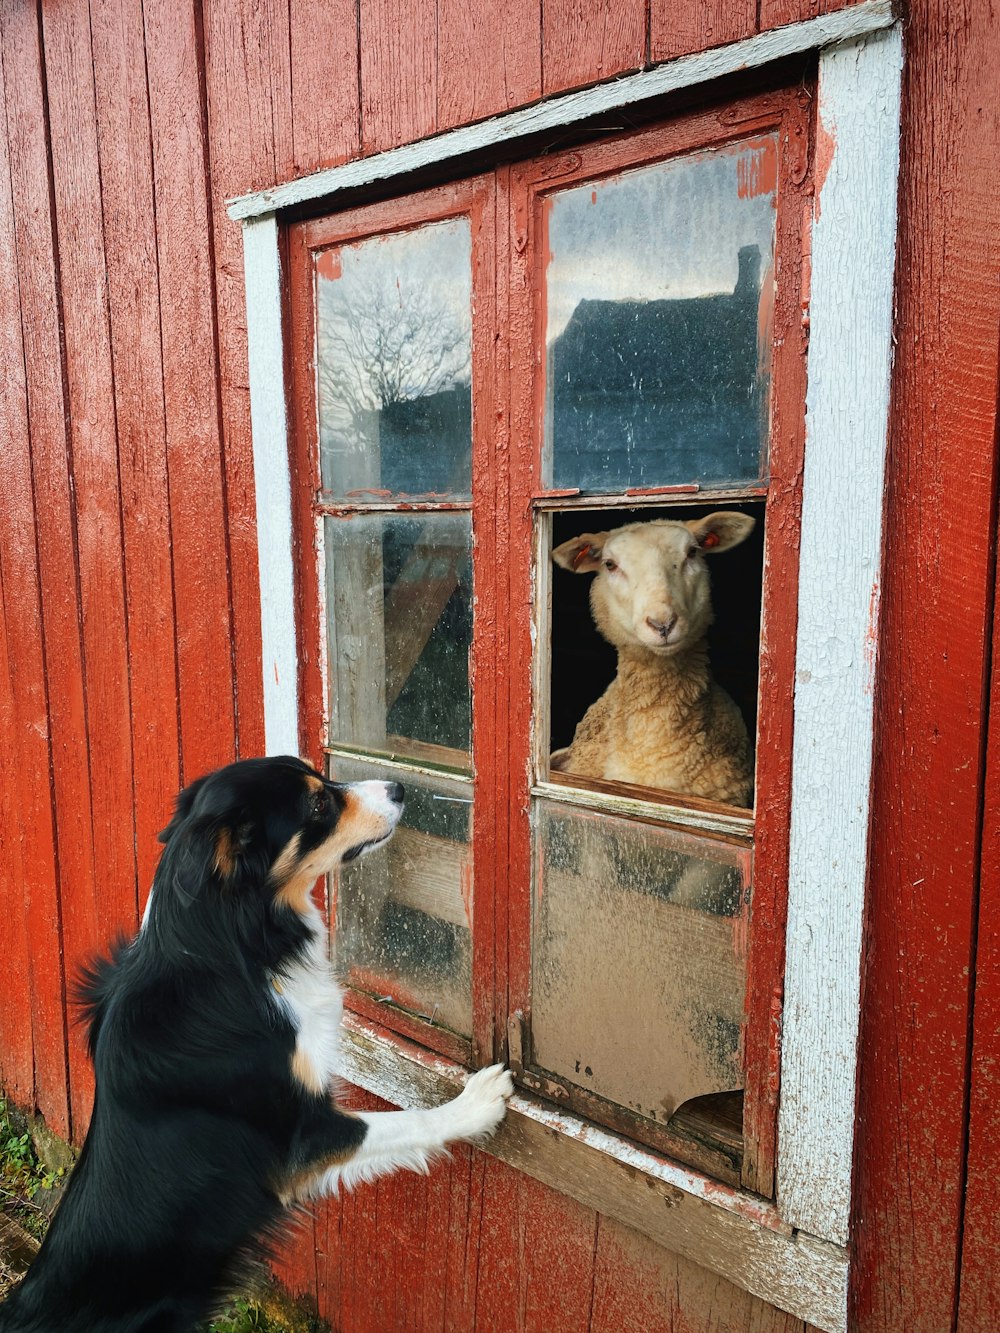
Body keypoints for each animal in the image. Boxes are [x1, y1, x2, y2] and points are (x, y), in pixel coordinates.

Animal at [0, 762, 512, 1333]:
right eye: (317, 806)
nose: (399, 788)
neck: (230, 945)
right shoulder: (303, 1133)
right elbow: (410, 1121)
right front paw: (477, 1103)